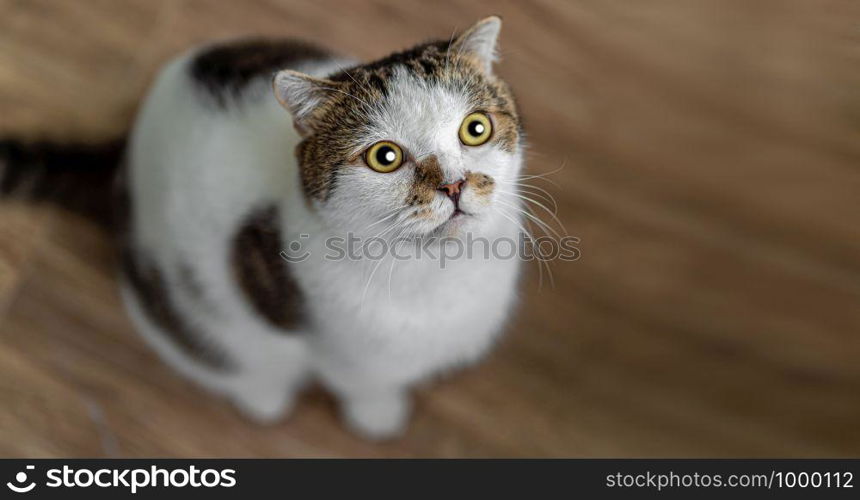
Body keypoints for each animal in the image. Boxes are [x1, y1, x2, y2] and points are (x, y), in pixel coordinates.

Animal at [0, 15, 524, 438]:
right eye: (385, 157)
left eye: (476, 128)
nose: (453, 184)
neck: (440, 269)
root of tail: (124, 153)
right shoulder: (342, 348)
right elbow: (363, 383)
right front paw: (377, 415)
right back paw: (262, 397)